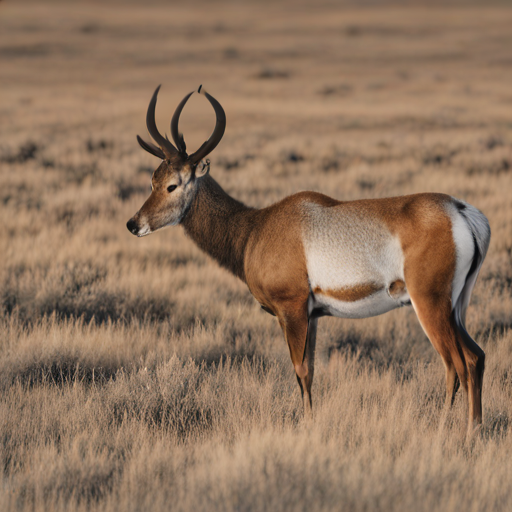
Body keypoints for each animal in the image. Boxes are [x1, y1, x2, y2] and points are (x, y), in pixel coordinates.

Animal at [126, 84, 490, 436]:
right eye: (153, 181)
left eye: (173, 185)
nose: (134, 224)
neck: (255, 227)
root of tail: (460, 211)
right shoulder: (313, 316)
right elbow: (311, 370)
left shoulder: (293, 310)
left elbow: (300, 370)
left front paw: (308, 425)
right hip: (455, 308)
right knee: (476, 357)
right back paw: (474, 429)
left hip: (429, 304)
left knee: (456, 363)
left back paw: (455, 432)